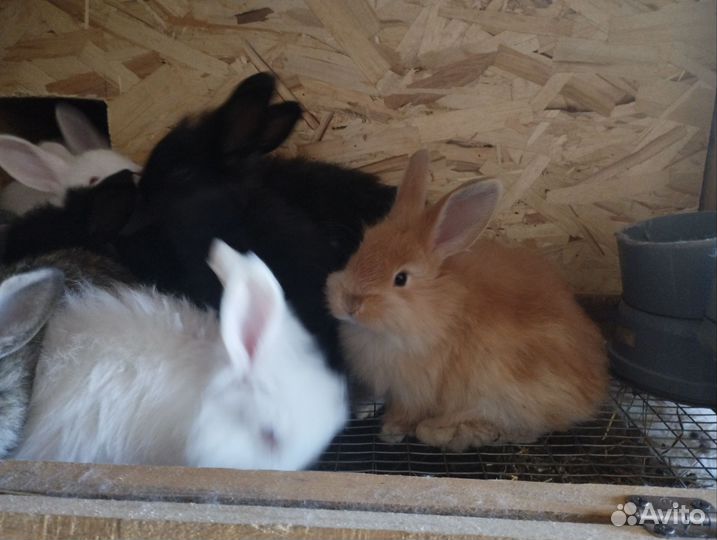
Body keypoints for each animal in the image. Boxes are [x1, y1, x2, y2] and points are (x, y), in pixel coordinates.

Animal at [326, 150, 609, 451]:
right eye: (360, 249)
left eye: (400, 278)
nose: (349, 303)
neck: (435, 309)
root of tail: (592, 391)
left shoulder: (416, 389)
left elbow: (406, 413)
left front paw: (390, 431)